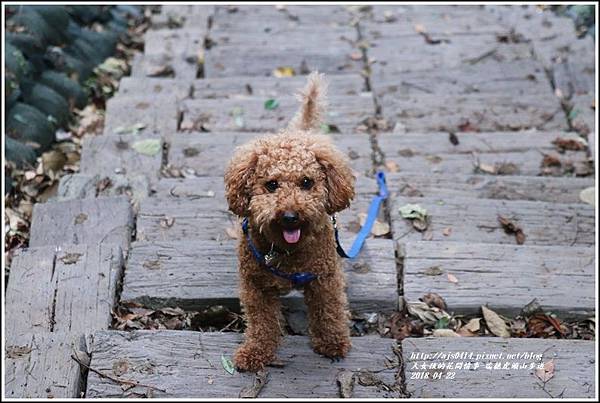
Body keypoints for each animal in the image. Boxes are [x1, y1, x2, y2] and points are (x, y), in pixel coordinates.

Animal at [225, 72, 356, 372]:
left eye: (306, 183)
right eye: (271, 185)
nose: (290, 216)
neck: (286, 252)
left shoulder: (325, 278)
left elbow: (329, 311)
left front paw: (331, 343)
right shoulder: (255, 286)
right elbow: (261, 322)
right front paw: (256, 353)